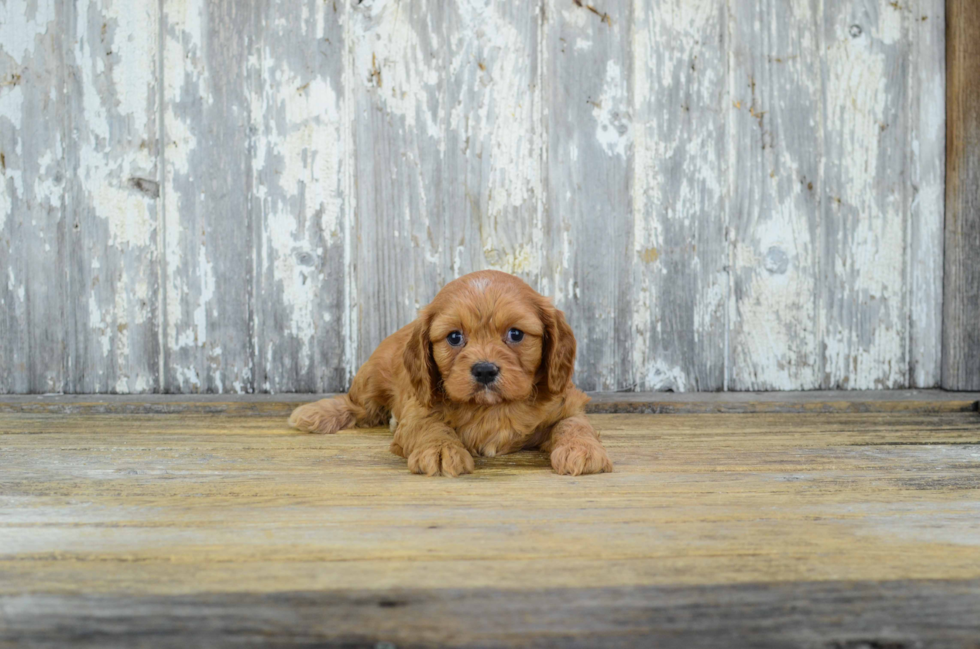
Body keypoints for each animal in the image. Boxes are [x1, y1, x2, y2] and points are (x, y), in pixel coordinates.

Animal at [290, 268, 612, 476]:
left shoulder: (566, 403)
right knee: (357, 405)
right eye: (455, 337)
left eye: (516, 334)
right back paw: (315, 414)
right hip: (371, 378)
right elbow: (432, 426)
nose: (484, 370)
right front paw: (441, 450)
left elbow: (573, 424)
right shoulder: (417, 408)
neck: (491, 408)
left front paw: (583, 449)